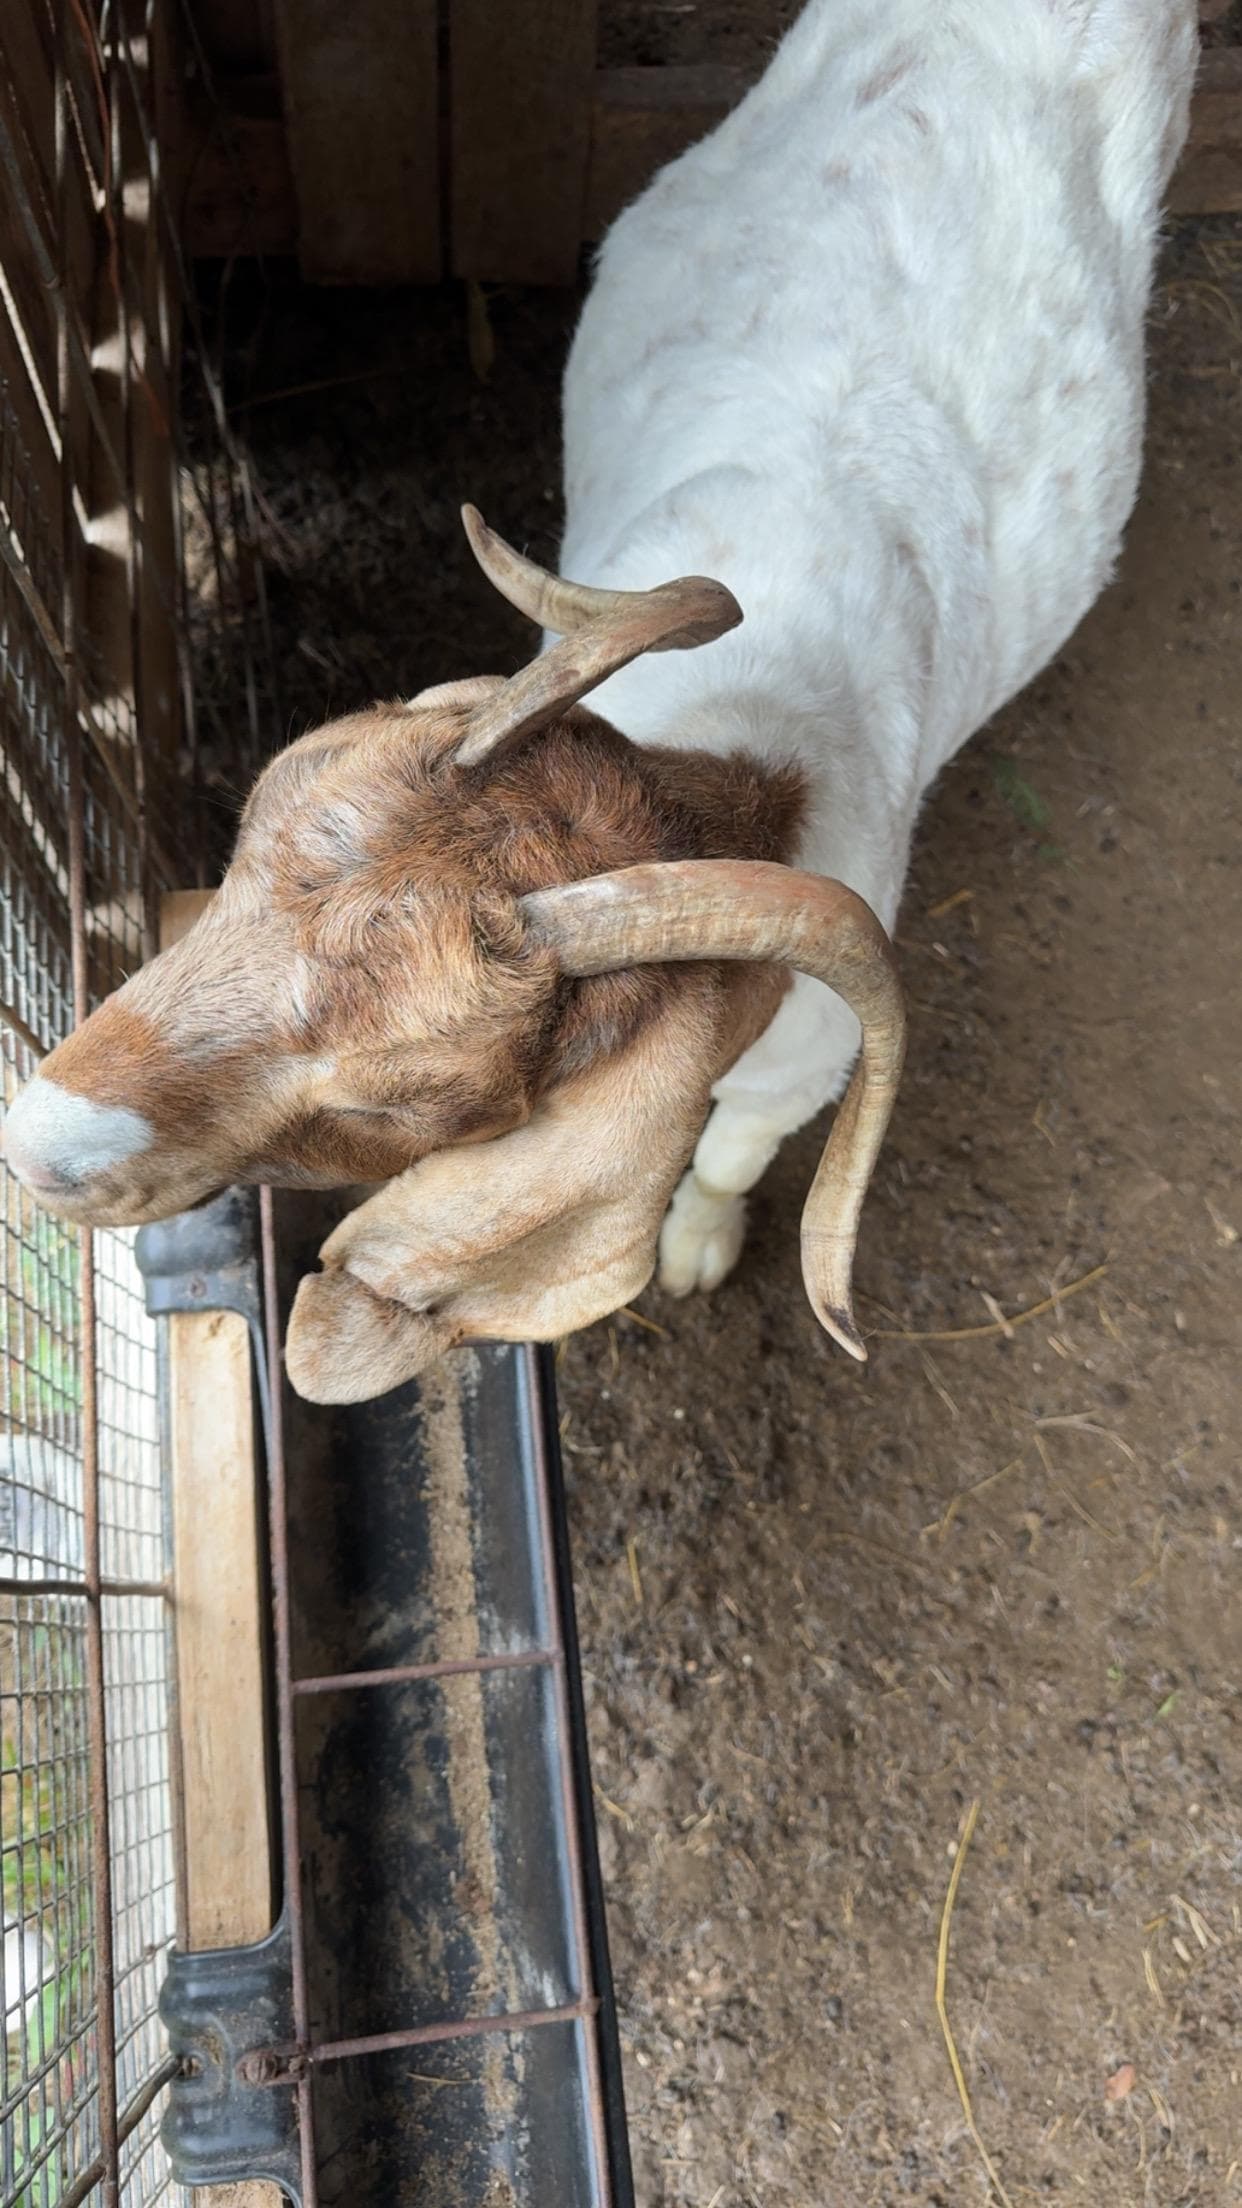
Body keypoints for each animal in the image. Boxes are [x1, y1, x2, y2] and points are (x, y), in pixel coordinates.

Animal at [3, 0, 1195, 1404]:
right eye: (243, 853)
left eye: (404, 1099)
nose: (35, 1143)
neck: (756, 752)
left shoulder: (796, 1072)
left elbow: (729, 1152)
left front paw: (696, 1246)